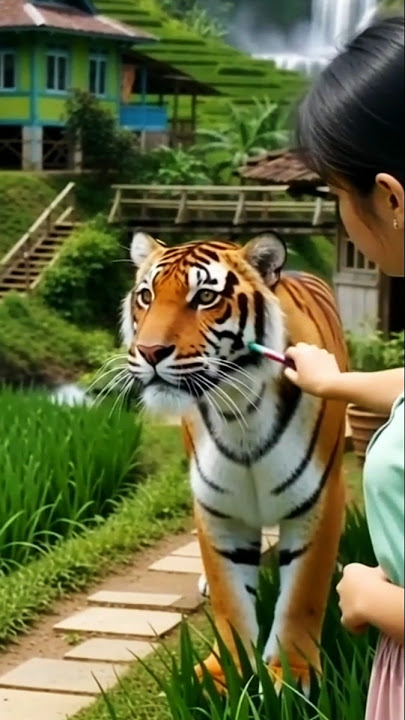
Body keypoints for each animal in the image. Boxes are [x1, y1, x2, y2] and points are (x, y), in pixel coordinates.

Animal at [121, 231, 347, 692]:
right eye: (146, 296)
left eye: (205, 297)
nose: (149, 351)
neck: (239, 411)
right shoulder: (218, 508)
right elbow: (230, 598)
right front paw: (221, 675)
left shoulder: (317, 501)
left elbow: (301, 598)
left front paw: (290, 677)